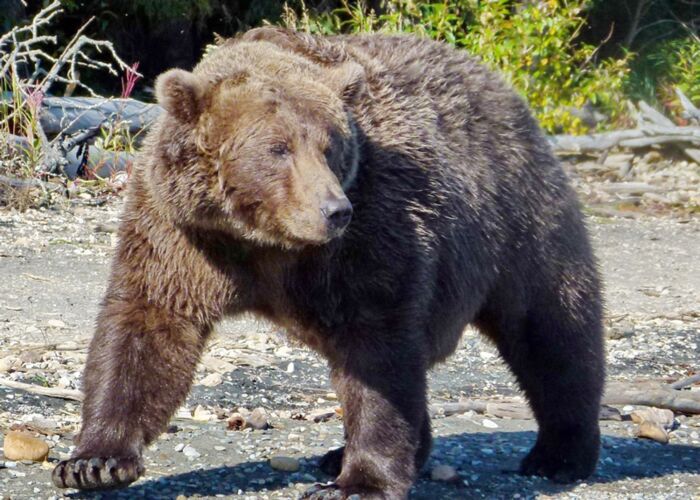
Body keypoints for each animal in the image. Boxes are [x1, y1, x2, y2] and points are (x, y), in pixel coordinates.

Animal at [52, 27, 605, 499]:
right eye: (277, 148)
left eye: (330, 145)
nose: (334, 210)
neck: (261, 241)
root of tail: (500, 86)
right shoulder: (182, 235)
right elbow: (147, 324)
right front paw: (94, 461)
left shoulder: (368, 235)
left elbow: (377, 349)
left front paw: (359, 482)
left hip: (520, 221)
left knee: (551, 327)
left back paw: (560, 453)